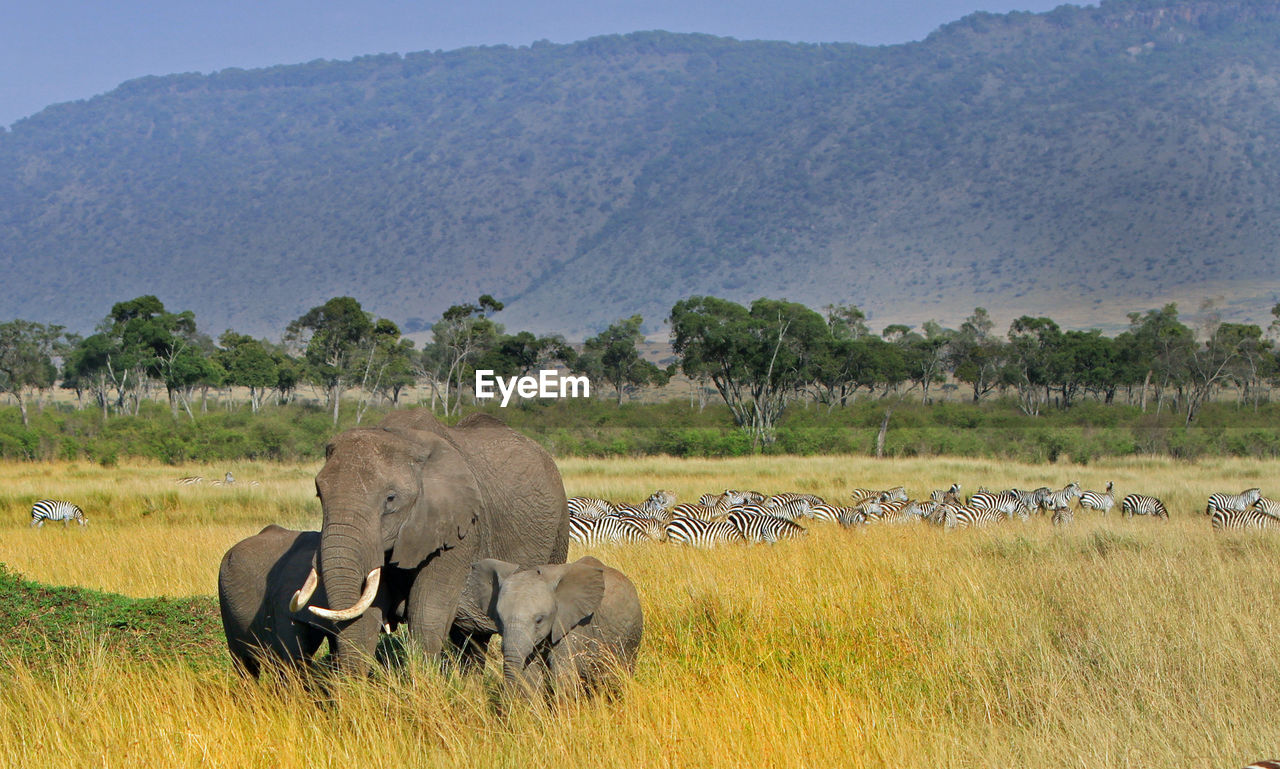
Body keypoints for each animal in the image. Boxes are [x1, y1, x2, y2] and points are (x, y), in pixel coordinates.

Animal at [293, 406, 573, 670]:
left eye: (390, 499)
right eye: (319, 494)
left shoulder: (460, 529)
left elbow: (427, 613)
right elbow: (368, 613)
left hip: (559, 529)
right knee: (472, 638)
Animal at [468, 555, 645, 701]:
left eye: (539, 620)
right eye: (499, 619)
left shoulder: (575, 625)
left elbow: (563, 673)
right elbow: (532, 676)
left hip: (630, 639)